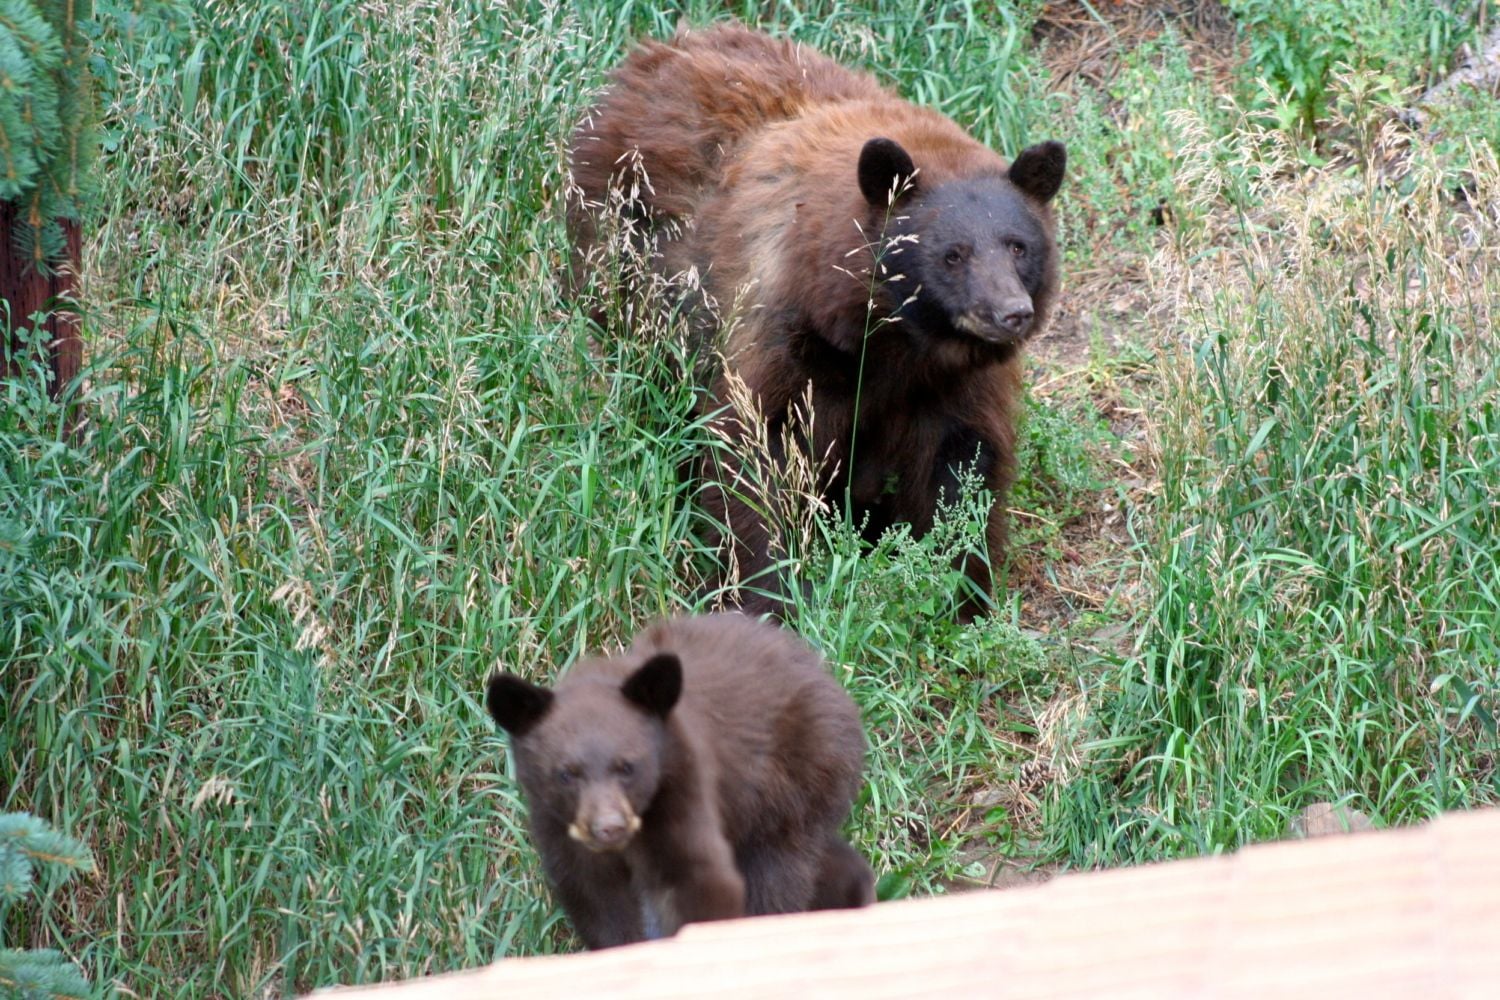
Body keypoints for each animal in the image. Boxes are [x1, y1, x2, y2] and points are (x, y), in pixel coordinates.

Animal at [484, 613, 873, 949]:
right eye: (566, 773)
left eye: (628, 766)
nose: (609, 827)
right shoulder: (558, 828)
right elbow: (599, 904)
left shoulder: (683, 789)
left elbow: (702, 879)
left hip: (795, 787)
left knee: (778, 879)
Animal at [567, 23, 1066, 620]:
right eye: (953, 253)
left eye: (1017, 246)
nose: (1011, 313)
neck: (894, 344)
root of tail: (649, 55)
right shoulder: (782, 334)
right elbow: (754, 454)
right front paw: (769, 592)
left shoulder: (955, 383)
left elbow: (962, 465)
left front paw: (958, 591)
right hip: (623, 259)